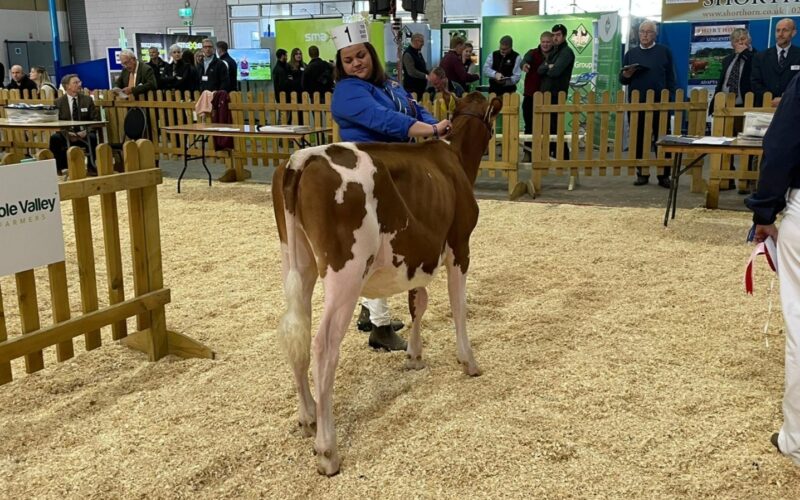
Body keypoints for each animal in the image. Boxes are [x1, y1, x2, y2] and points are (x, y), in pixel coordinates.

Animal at [272, 92, 503, 476]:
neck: (453, 157)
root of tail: (302, 158)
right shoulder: (460, 246)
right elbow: (458, 307)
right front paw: (468, 361)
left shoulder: (417, 256)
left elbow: (418, 302)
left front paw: (414, 355)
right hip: (345, 272)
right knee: (323, 345)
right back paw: (327, 450)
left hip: (297, 261)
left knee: (296, 334)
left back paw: (307, 417)